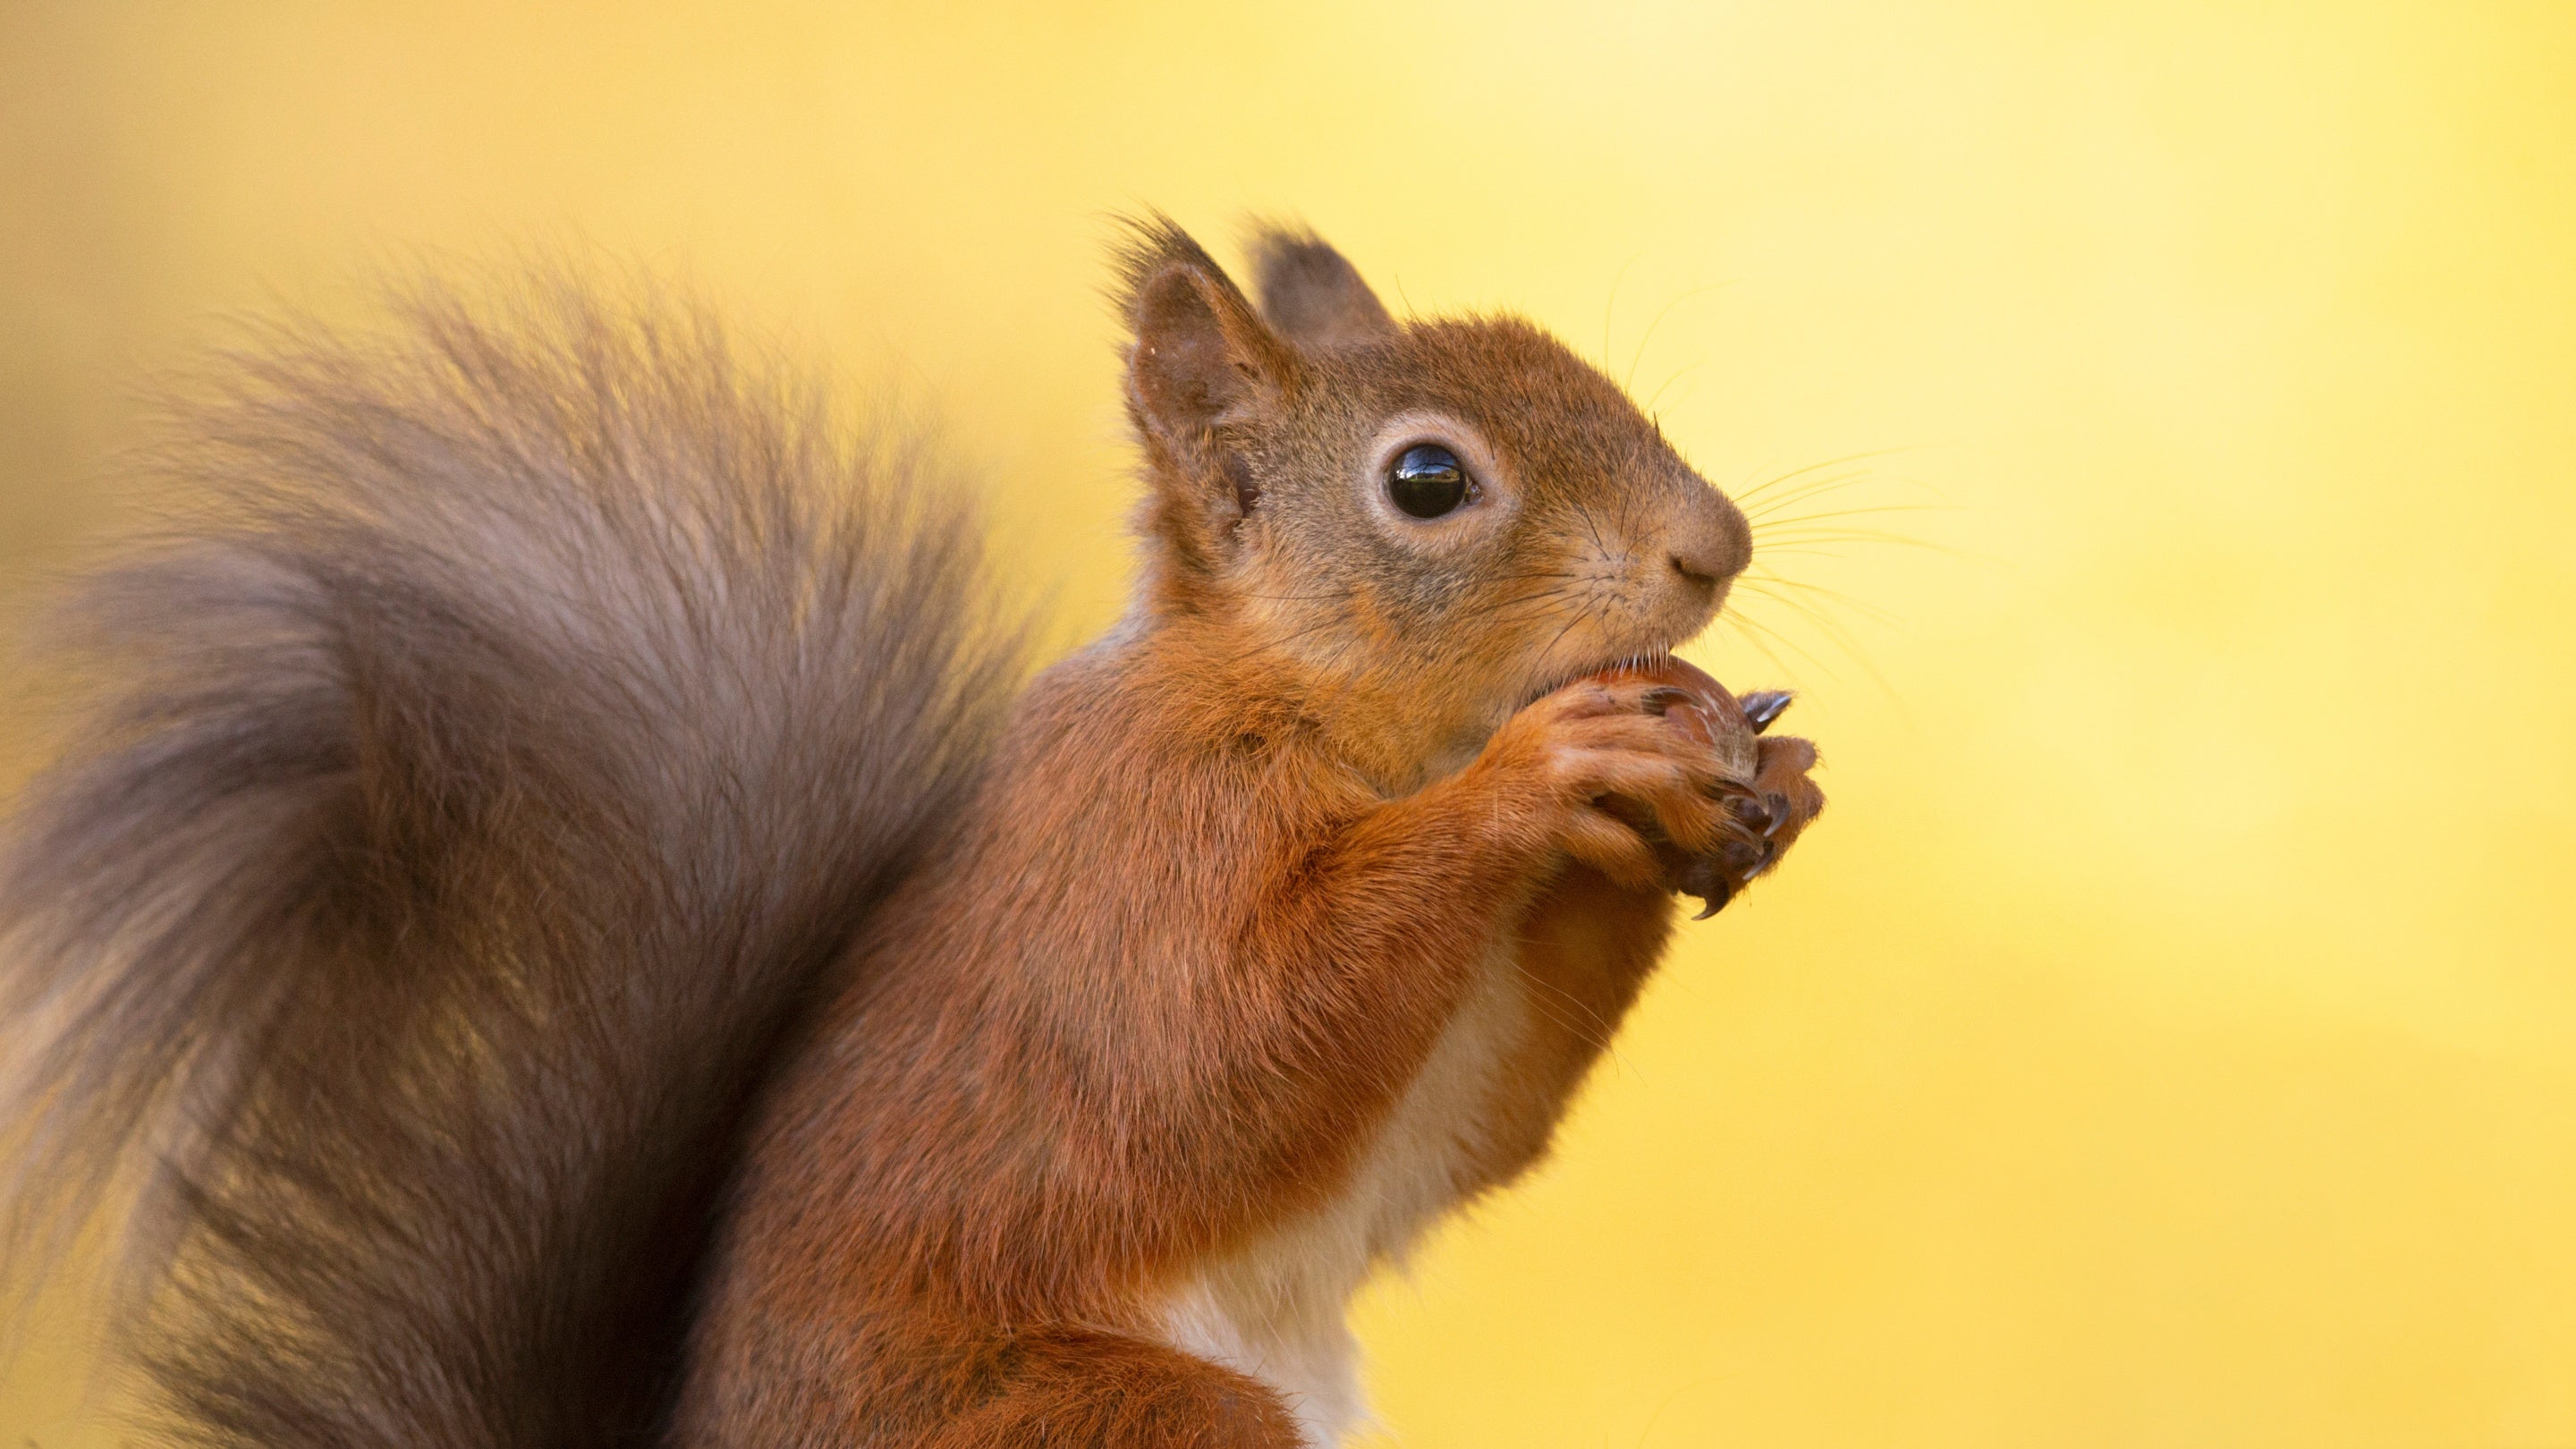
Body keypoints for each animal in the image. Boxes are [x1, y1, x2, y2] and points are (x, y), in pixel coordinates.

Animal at [0, 219, 1823, 1449]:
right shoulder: (1133, 849)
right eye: (1428, 483)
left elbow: (1473, 1126)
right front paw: (1550, 769)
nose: (1715, 546)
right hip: (1086, 1420)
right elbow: (1221, 1060)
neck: (1332, 717)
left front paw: (1746, 781)